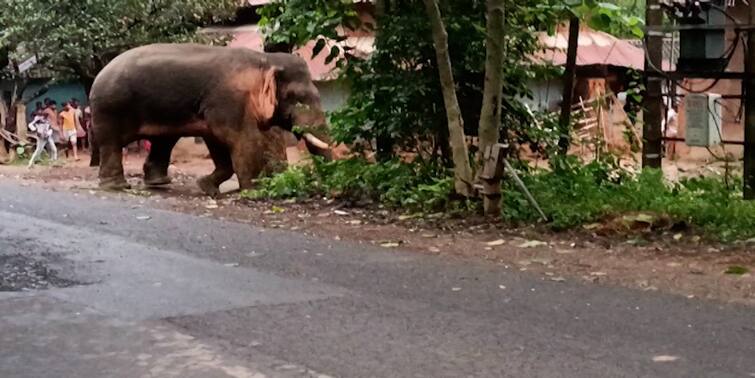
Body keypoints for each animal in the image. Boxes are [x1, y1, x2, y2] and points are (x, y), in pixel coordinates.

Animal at [89, 44, 334, 196]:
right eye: (296, 98)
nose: (328, 192)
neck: (264, 59)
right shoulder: (229, 101)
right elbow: (241, 139)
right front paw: (253, 193)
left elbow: (216, 141)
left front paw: (207, 188)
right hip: (110, 107)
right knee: (111, 143)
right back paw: (117, 186)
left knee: (164, 141)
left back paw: (159, 183)